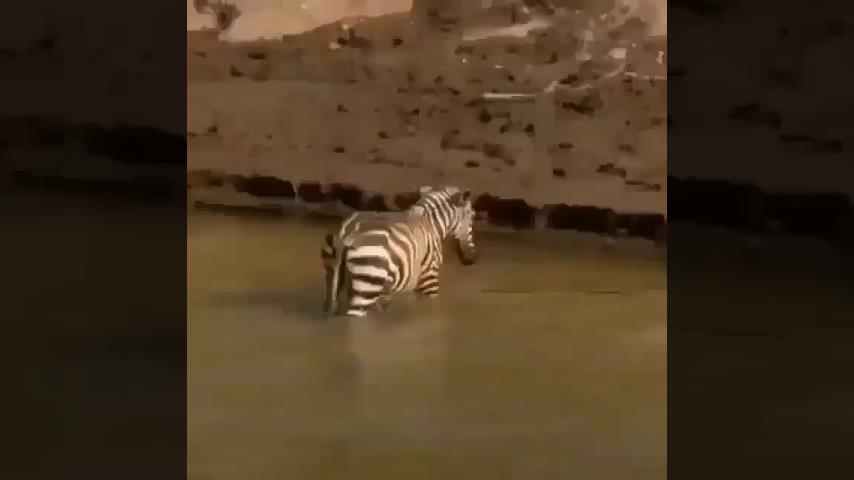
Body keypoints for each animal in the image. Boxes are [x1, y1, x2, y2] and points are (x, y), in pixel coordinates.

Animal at [321, 186, 477, 317]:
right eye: (471, 216)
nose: (472, 259)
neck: (432, 225)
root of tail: (348, 231)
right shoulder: (429, 278)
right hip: (366, 287)